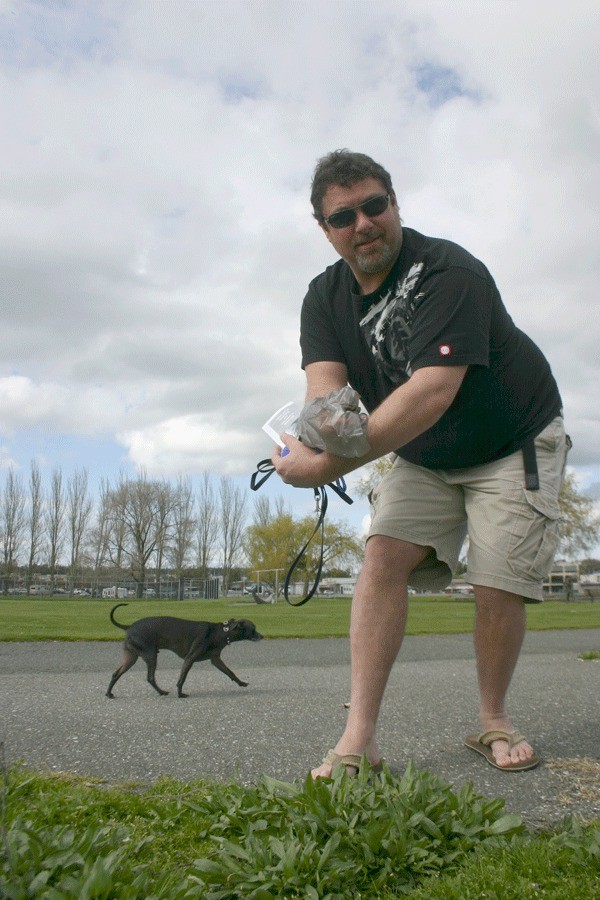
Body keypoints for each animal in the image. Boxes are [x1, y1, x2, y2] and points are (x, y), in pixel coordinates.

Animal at [105, 600, 262, 700]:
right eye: (253, 629)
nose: (262, 636)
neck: (220, 632)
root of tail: (129, 627)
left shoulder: (216, 660)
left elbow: (230, 672)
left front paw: (241, 683)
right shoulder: (190, 658)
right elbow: (182, 678)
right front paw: (180, 694)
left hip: (131, 657)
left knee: (115, 674)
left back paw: (109, 694)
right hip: (150, 656)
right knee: (150, 677)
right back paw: (161, 691)